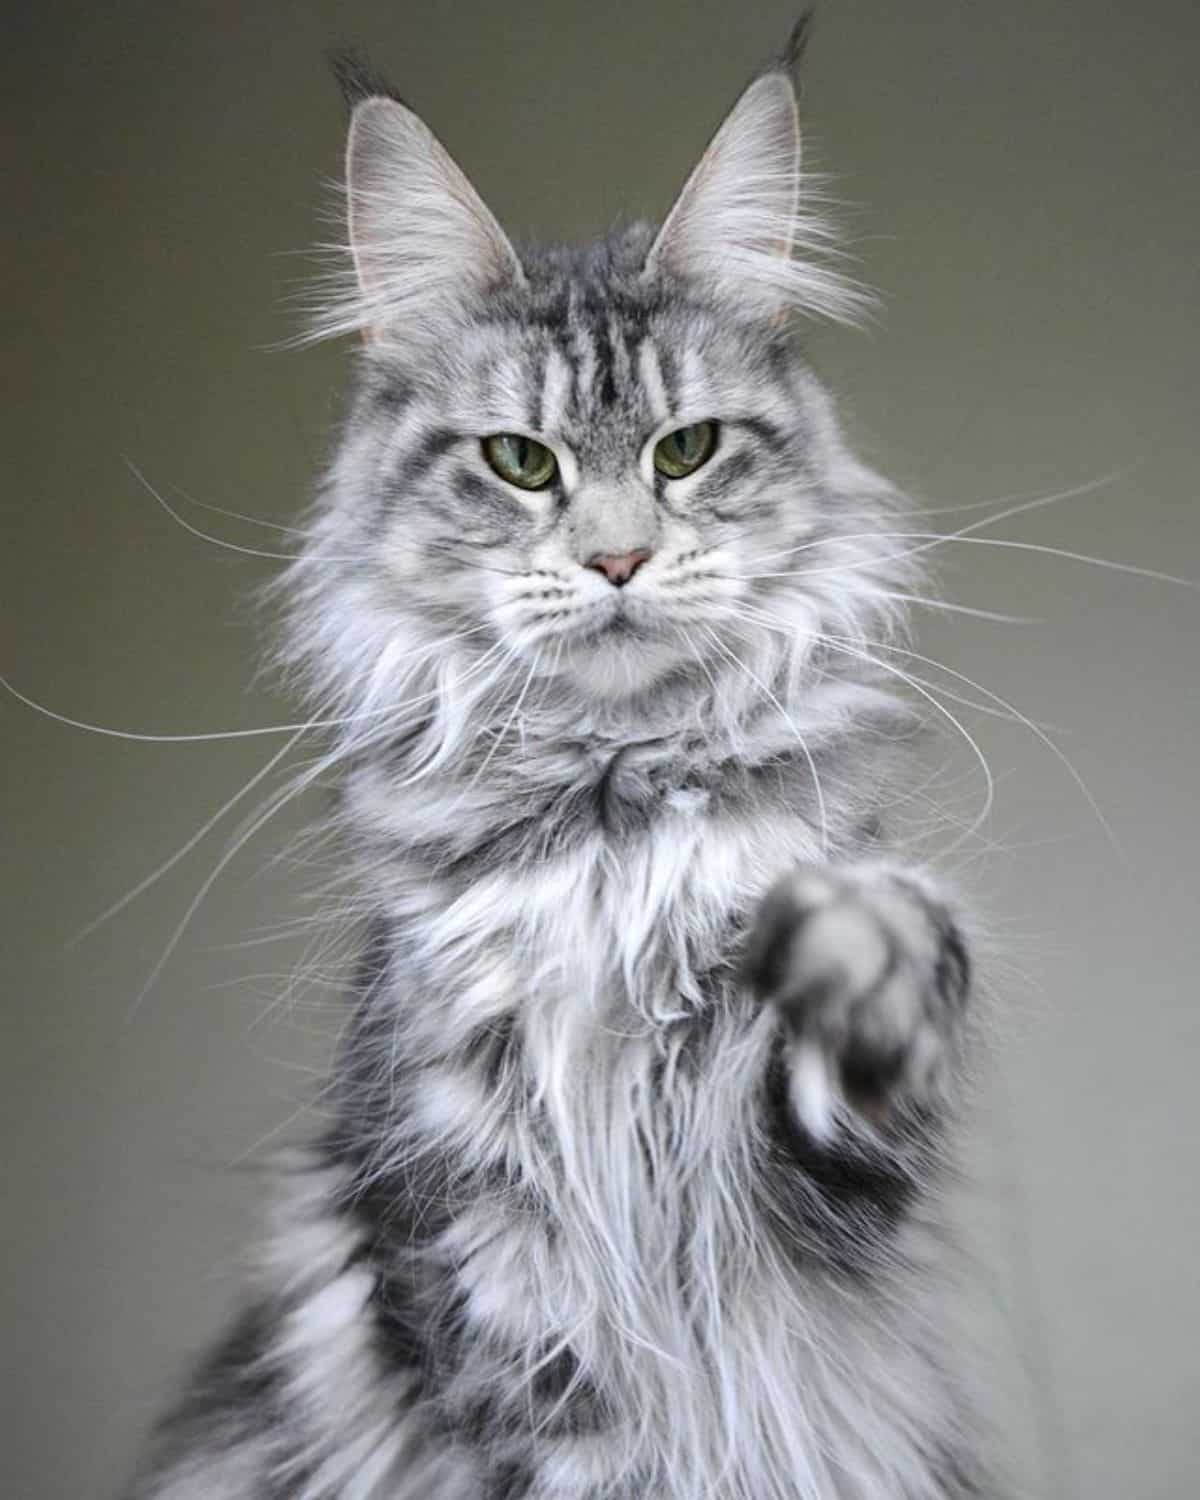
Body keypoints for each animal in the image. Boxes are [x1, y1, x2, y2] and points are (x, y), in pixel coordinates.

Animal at [126, 14, 996, 1500]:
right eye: (521, 462)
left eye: (686, 450)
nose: (618, 560)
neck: (615, 825)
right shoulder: (474, 1241)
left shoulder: (817, 1213)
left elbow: (853, 1037)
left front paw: (861, 946)